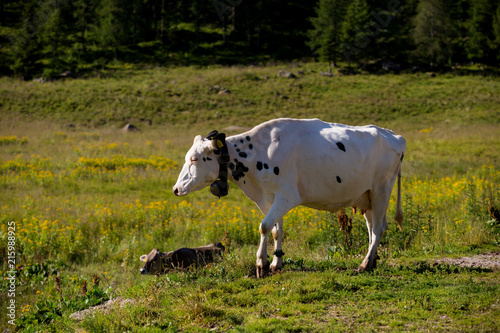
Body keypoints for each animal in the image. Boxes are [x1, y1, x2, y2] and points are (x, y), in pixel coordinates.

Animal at [172, 118, 406, 276]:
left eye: (194, 159)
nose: (176, 189)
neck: (258, 153)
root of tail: (395, 136)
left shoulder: (288, 196)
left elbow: (264, 226)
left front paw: (262, 263)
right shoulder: (268, 197)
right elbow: (276, 229)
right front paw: (277, 263)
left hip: (382, 189)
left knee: (378, 228)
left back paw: (365, 265)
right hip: (366, 196)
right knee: (371, 228)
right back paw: (371, 260)